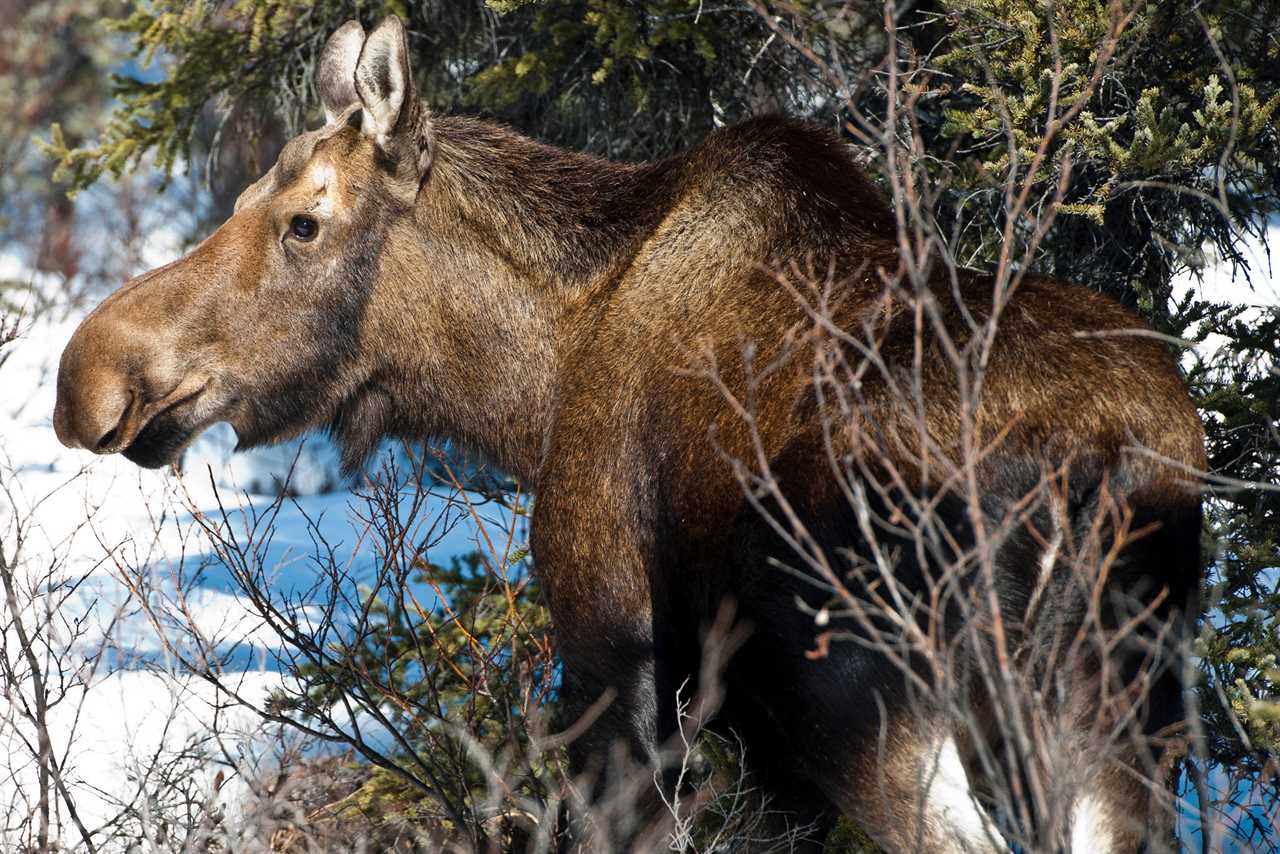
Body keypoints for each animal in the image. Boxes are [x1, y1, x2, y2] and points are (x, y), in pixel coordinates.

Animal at [52, 15, 1208, 854]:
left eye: (303, 221)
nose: (88, 375)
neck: (530, 390)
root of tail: (1103, 470)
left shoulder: (614, 653)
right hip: (1122, 723)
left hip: (881, 712)